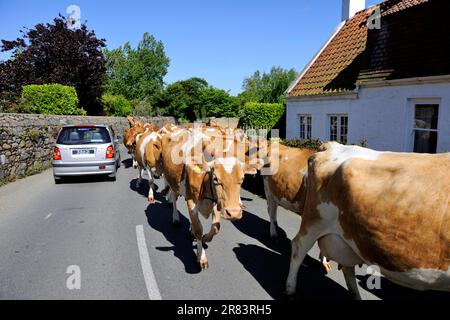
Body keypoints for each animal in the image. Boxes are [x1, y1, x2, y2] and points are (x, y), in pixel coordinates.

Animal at [286, 141, 448, 298]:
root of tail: (333, 145)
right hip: (315, 221)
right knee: (299, 247)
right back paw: (290, 289)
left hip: (349, 238)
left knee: (347, 268)